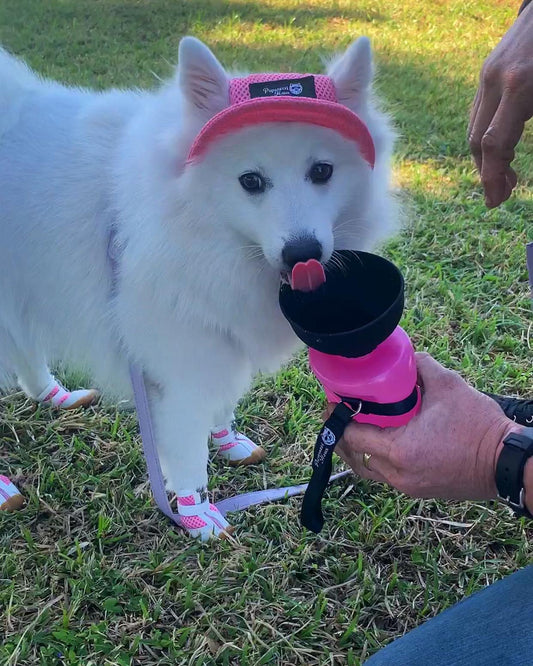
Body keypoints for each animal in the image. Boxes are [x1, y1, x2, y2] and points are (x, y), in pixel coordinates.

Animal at [0, 36, 396, 536]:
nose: (302, 253)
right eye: (251, 181)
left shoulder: (220, 338)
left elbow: (222, 403)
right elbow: (187, 447)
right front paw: (197, 515)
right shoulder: (180, 361)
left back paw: (52, 395)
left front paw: (228, 441)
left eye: (322, 172)